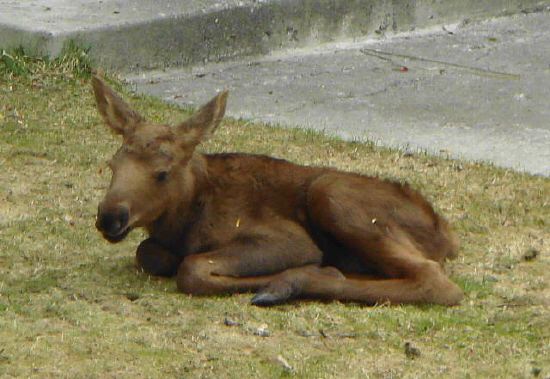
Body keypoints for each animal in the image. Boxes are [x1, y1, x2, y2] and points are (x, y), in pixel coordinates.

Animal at [92, 75, 464, 308]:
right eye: (112, 165)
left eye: (162, 173)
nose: (109, 217)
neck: (184, 219)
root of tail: (447, 237)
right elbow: (148, 253)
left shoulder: (289, 239)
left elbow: (193, 268)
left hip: (330, 193)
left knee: (436, 281)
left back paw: (288, 284)